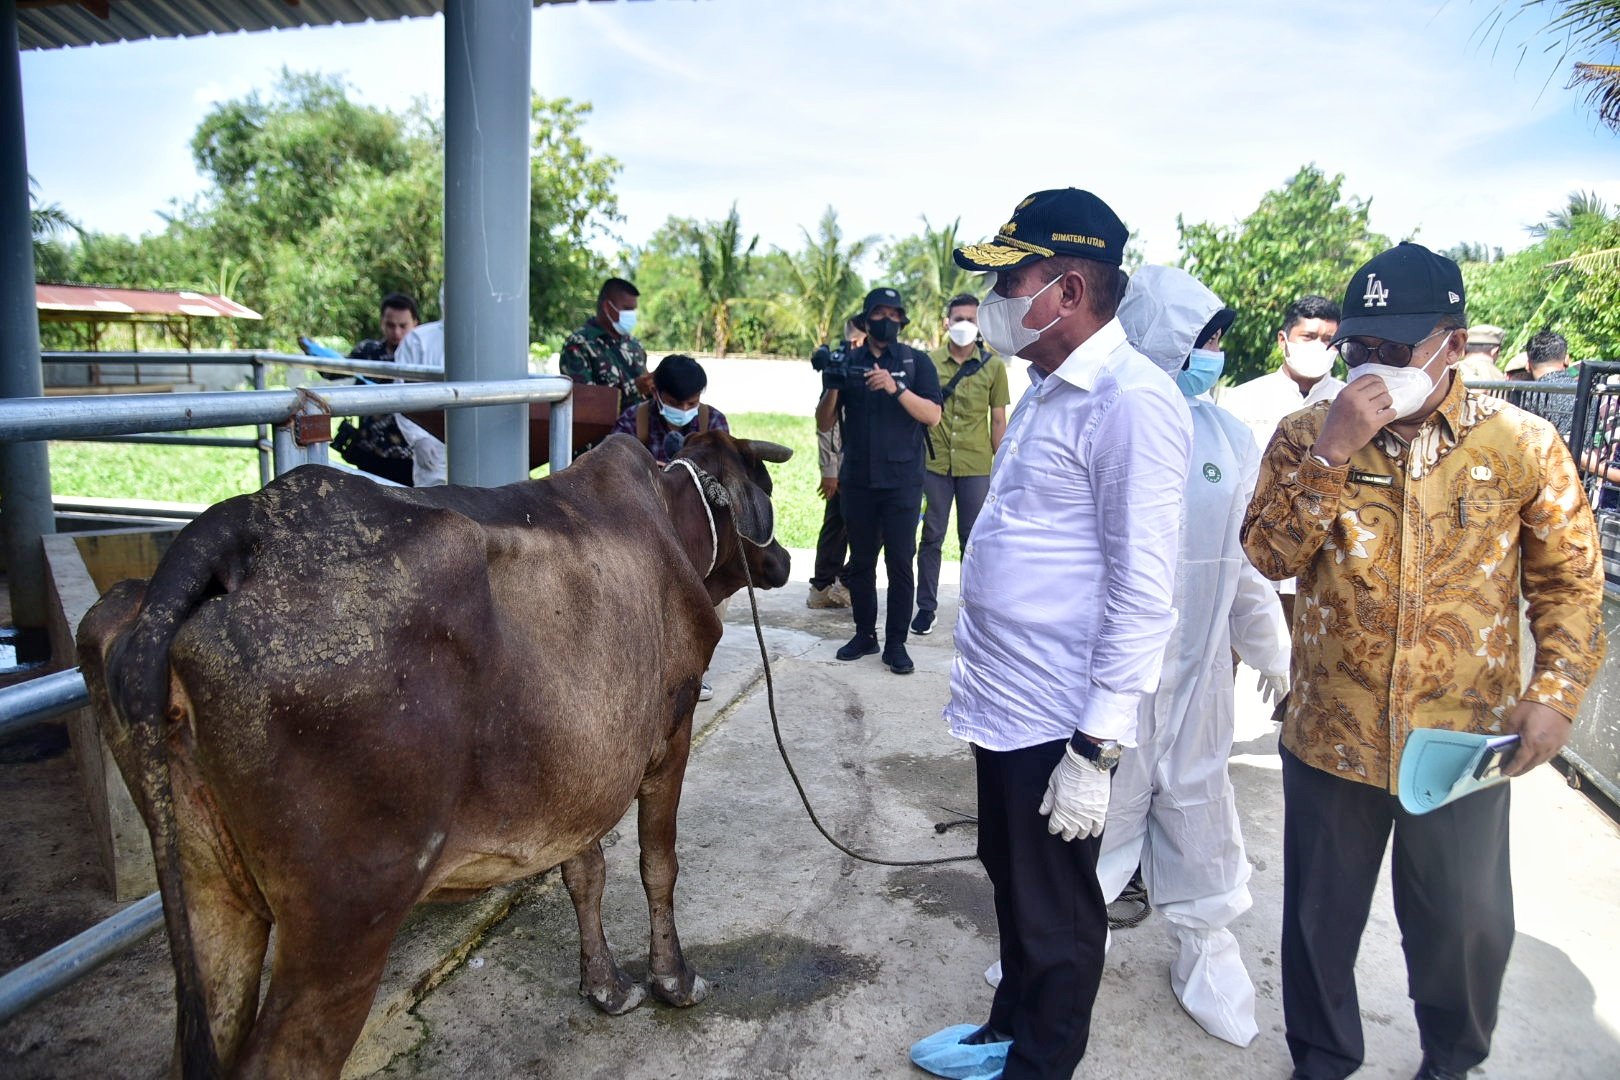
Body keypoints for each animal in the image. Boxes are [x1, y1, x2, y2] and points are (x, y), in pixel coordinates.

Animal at [77, 433, 797, 1080]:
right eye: (766, 488)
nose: (787, 560)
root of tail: (234, 526)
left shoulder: (577, 772)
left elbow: (584, 871)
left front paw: (605, 986)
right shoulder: (671, 730)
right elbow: (658, 864)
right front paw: (673, 980)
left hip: (211, 896)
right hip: (343, 921)